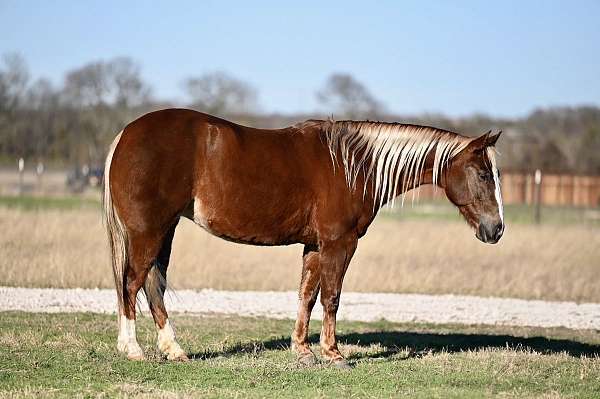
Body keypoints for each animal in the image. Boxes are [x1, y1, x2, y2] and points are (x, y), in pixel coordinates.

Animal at [103, 108, 502, 368]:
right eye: (484, 175)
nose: (496, 229)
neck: (351, 164)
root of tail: (126, 134)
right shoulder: (340, 243)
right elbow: (332, 298)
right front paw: (334, 354)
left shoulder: (314, 245)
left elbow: (306, 296)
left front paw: (303, 351)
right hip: (148, 232)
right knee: (131, 283)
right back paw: (132, 349)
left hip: (164, 230)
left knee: (152, 287)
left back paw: (174, 350)